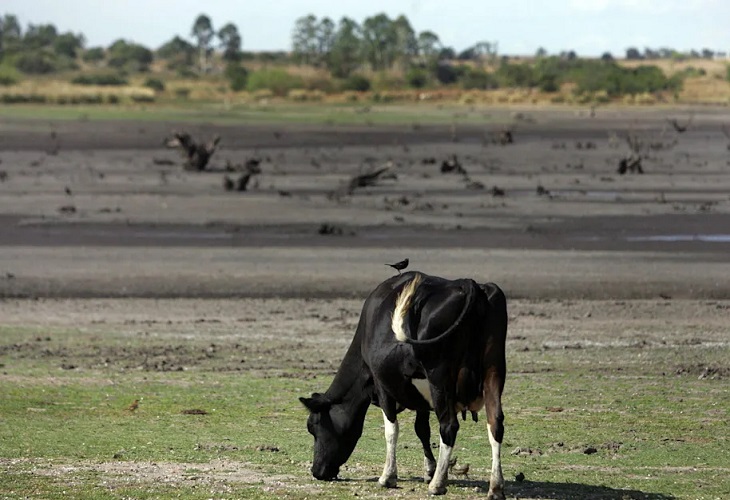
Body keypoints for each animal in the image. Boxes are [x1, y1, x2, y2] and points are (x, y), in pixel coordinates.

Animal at [298, 272, 506, 498]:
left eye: (313, 426)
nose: (317, 471)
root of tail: (469, 284)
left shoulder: (383, 386)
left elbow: (391, 430)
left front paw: (388, 476)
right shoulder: (420, 393)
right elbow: (422, 429)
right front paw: (429, 469)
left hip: (440, 378)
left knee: (449, 426)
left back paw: (438, 484)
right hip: (494, 371)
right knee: (495, 424)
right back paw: (495, 487)